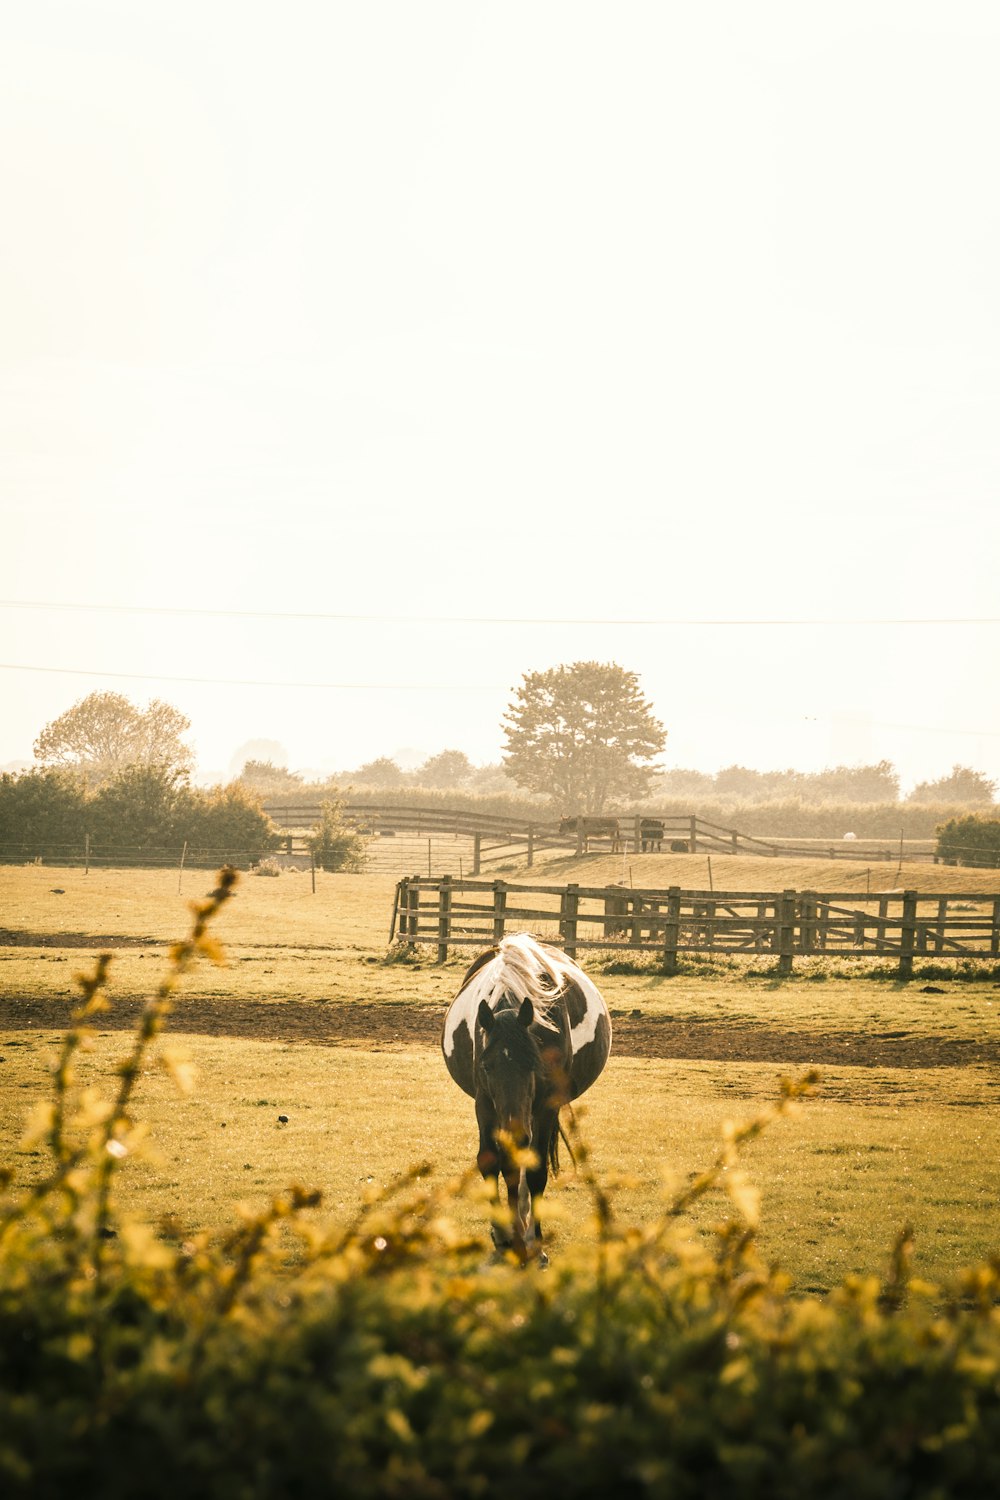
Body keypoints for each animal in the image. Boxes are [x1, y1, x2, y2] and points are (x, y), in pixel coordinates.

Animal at [443, 930, 614, 1260]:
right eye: (486, 1065)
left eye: (534, 1063)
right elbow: (491, 1161)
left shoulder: (545, 1108)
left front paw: (533, 1243)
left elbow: (534, 1172)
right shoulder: (484, 1103)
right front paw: (504, 1236)